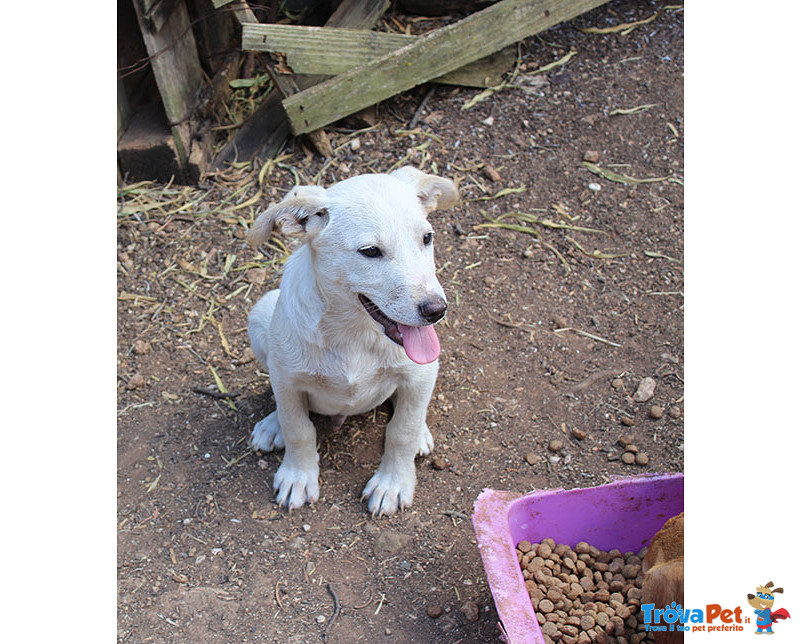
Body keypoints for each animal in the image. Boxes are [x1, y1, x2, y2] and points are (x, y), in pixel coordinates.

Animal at [245, 167, 456, 520]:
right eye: (370, 251)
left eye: (427, 238)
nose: (436, 310)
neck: (355, 331)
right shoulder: (287, 379)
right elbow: (298, 428)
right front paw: (298, 476)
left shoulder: (420, 372)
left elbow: (402, 431)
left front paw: (393, 483)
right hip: (261, 314)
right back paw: (272, 425)